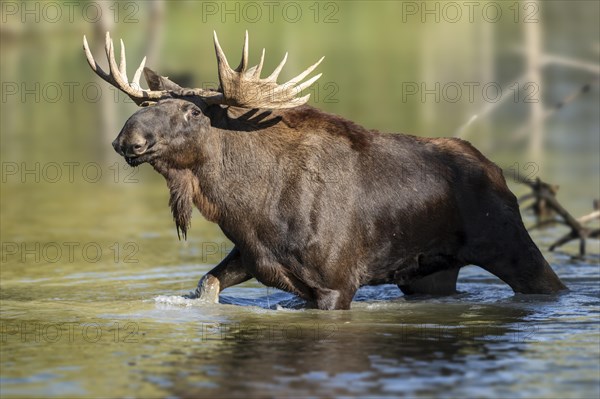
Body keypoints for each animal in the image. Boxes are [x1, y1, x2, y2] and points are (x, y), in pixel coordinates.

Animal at [83, 32, 568, 312]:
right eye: (149, 105)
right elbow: (207, 284)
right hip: (428, 275)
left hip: (511, 245)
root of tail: (498, 172)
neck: (247, 208)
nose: (127, 140)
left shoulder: (337, 283)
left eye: (191, 111)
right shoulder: (252, 256)